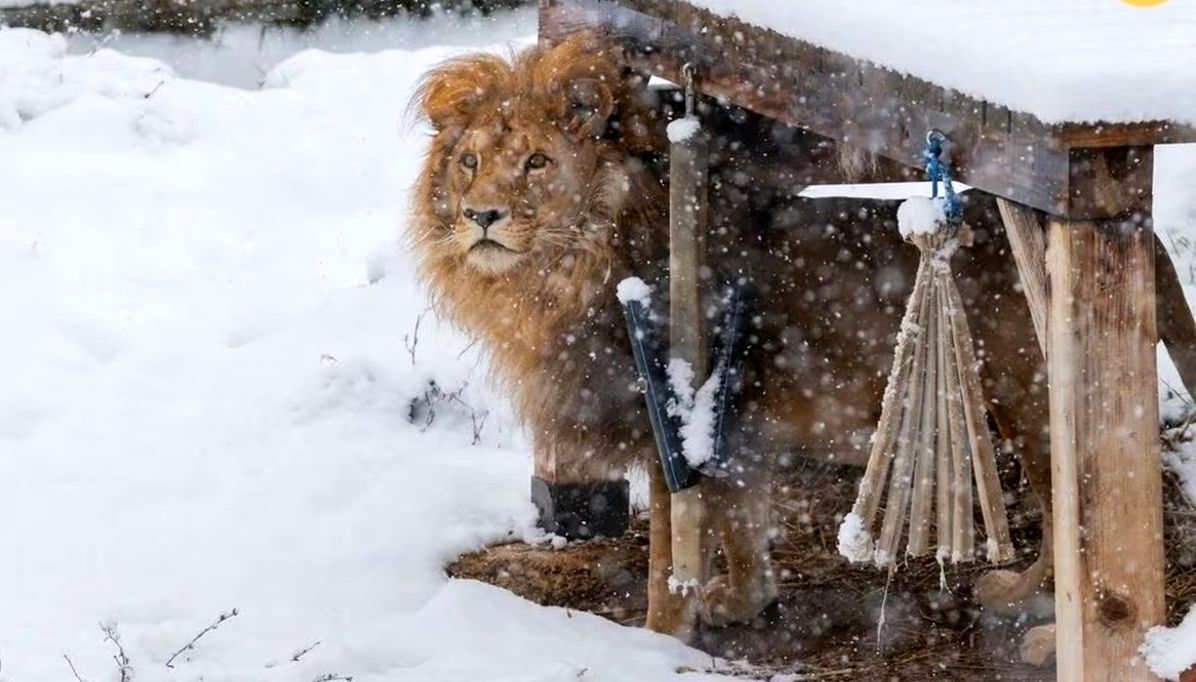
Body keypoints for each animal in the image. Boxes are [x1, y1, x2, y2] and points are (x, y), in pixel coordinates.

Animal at [411, 35, 1057, 641]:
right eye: (469, 162)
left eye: (538, 161)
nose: (481, 215)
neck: (565, 270)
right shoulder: (735, 432)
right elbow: (741, 526)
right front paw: (745, 601)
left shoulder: (668, 426)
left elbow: (670, 558)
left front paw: (659, 639)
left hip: (1029, 401)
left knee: (1070, 522)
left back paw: (1034, 614)